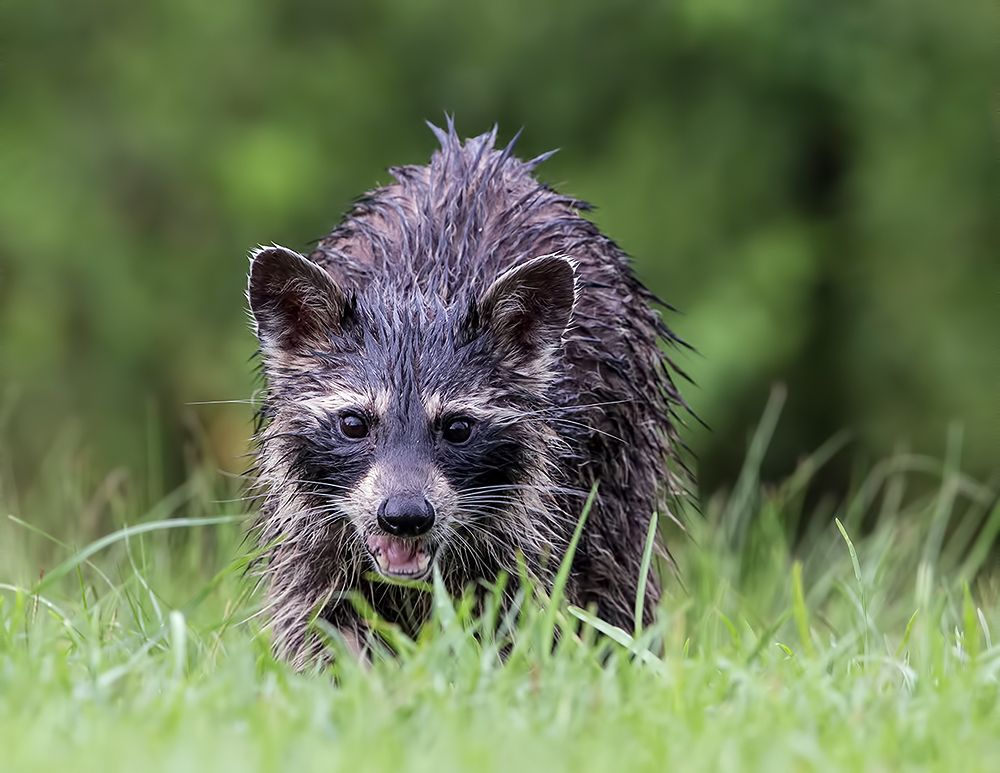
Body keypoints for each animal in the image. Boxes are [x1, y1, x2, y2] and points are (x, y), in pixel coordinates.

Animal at [246, 121, 689, 666]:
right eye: (354, 424)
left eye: (457, 428)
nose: (405, 517)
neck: (422, 295)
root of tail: (475, 154)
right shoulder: (311, 536)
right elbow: (320, 618)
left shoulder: (534, 524)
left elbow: (518, 616)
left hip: (624, 463)